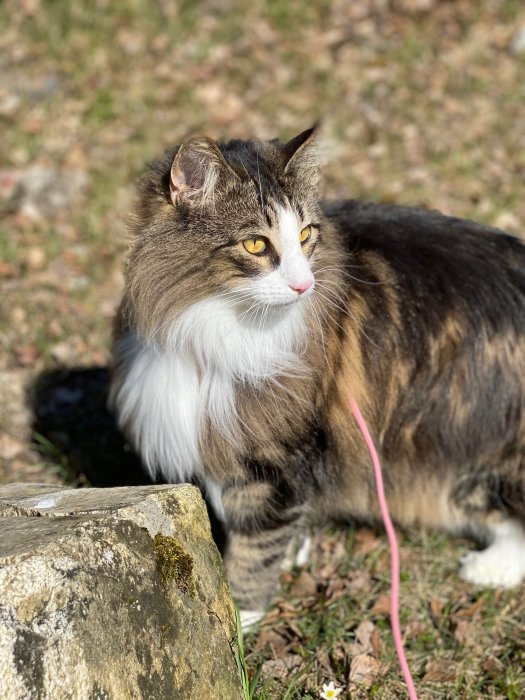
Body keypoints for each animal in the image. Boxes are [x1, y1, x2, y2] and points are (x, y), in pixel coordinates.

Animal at [107, 126, 524, 624]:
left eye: (306, 235)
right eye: (256, 245)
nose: (304, 285)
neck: (215, 324)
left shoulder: (278, 455)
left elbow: (256, 543)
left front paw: (240, 614)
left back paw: (487, 569)